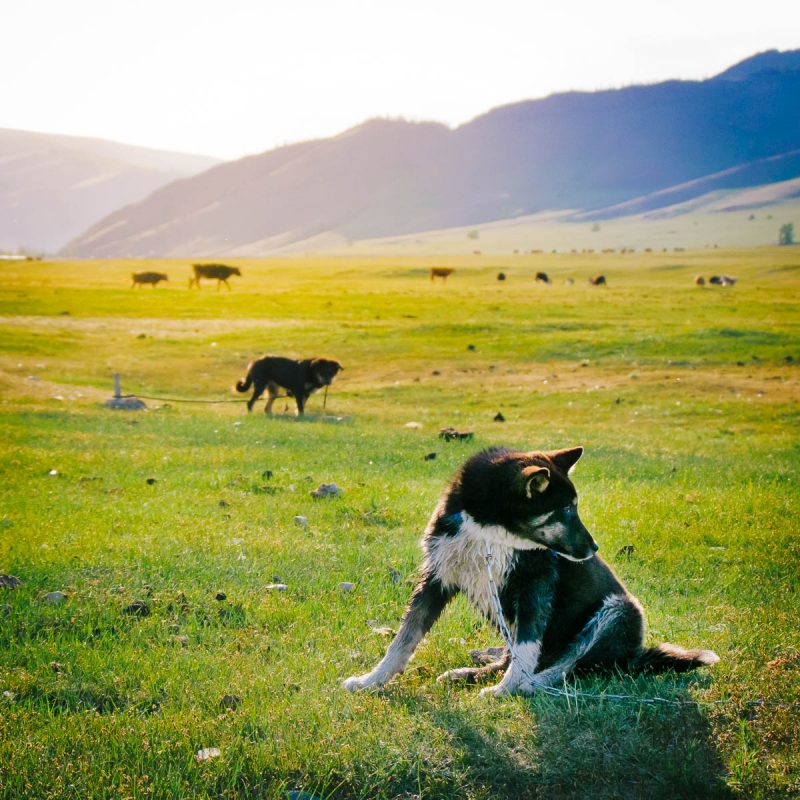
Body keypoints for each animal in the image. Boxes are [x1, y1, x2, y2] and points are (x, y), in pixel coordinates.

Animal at [344, 446, 720, 696]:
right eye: (565, 509)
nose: (595, 548)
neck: (488, 530)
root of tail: (635, 658)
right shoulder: (437, 579)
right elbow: (403, 640)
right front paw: (370, 681)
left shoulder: (534, 588)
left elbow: (526, 649)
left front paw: (505, 691)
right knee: (524, 658)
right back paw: (470, 673)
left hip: (618, 611)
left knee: (566, 667)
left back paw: (526, 684)